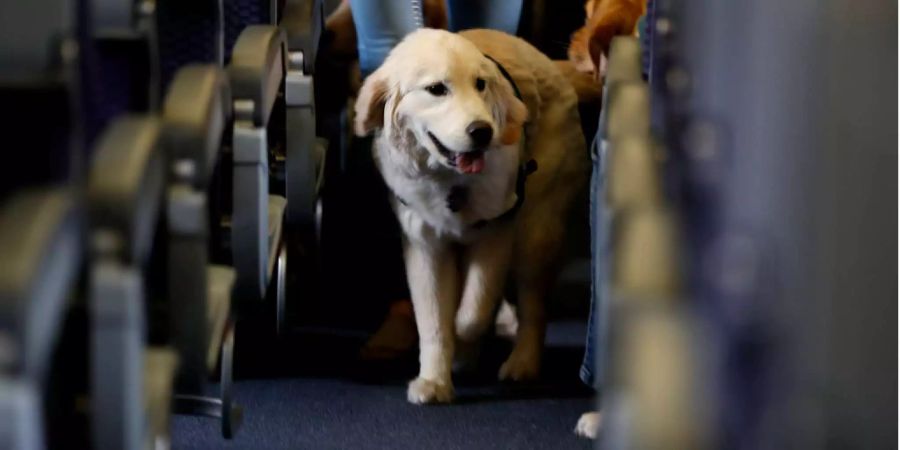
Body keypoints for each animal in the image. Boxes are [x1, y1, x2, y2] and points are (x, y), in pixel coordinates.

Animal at [352, 29, 592, 406]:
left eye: (481, 85)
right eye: (436, 89)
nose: (482, 131)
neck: (450, 181)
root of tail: (549, 64)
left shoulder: (496, 231)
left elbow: (473, 311)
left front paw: (464, 343)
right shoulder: (425, 245)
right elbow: (433, 320)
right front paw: (434, 381)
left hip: (536, 231)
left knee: (533, 305)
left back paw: (522, 362)